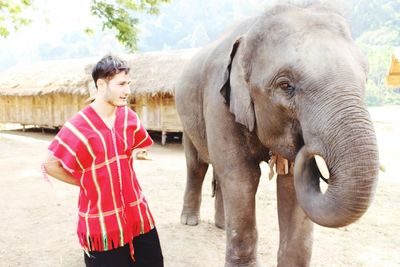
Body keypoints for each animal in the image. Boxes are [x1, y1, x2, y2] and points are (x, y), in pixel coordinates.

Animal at [174, 3, 378, 267]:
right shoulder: (217, 101)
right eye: (285, 85)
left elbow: (291, 184)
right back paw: (189, 221)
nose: (309, 147)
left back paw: (221, 226)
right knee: (197, 165)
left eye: (365, 78)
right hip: (185, 118)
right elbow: (243, 176)